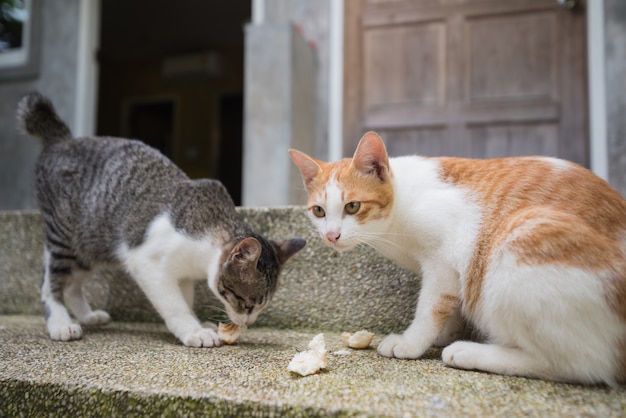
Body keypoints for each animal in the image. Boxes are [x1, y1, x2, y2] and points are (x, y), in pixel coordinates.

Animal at [17, 93, 304, 348]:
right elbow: (174, 305)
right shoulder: (147, 263)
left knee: (72, 283)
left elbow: (185, 298)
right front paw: (193, 331)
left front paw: (198, 323)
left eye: (260, 306)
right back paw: (60, 323)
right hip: (64, 235)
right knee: (50, 281)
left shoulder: (183, 274)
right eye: (247, 303)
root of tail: (61, 140)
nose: (250, 322)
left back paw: (88, 316)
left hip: (90, 244)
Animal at [290, 131, 624, 386]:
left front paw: (412, 342)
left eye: (353, 206)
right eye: (319, 211)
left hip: (522, 238)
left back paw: (472, 353)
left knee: (581, 365)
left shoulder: (444, 256)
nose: (332, 235)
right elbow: (450, 302)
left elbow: (431, 306)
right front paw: (445, 332)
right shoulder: (450, 268)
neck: (401, 204)